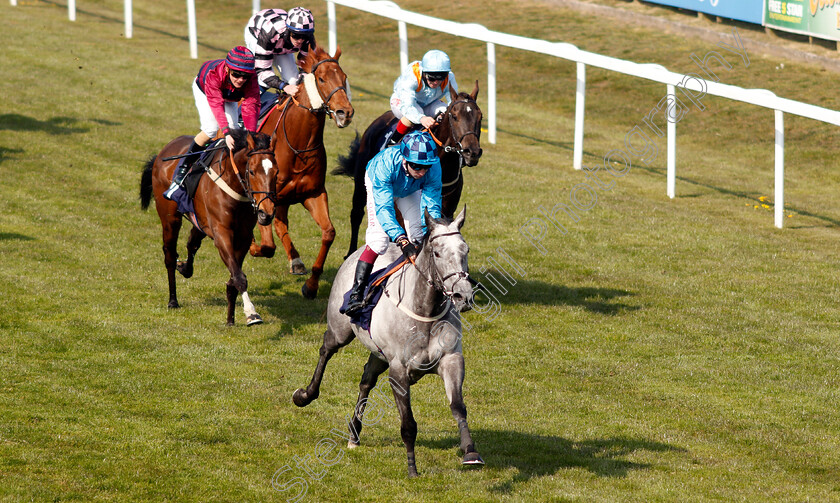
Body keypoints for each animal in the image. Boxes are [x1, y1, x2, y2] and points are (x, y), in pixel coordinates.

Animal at [140, 130, 278, 326]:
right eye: (251, 171)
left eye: (277, 172)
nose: (266, 213)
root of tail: (164, 150)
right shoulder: (222, 233)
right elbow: (239, 277)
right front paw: (251, 313)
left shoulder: (243, 236)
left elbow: (234, 276)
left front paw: (230, 319)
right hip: (170, 218)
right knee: (169, 255)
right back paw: (173, 300)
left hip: (200, 222)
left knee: (192, 244)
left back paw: (185, 268)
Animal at [249, 44, 354, 300]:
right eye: (322, 79)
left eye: (344, 77)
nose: (345, 113)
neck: (299, 144)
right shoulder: (267, 196)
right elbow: (267, 243)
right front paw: (254, 246)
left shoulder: (313, 193)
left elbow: (329, 233)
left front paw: (311, 285)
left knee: (281, 224)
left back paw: (295, 261)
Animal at [292, 207, 486, 478]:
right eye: (437, 253)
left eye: (465, 250)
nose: (463, 296)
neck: (424, 311)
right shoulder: (398, 370)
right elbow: (408, 424)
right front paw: (412, 468)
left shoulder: (451, 360)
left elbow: (458, 406)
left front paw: (470, 451)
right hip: (340, 331)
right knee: (325, 350)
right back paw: (305, 395)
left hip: (378, 353)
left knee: (366, 379)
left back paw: (354, 433)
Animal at [334, 82, 480, 260]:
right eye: (454, 116)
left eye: (480, 117)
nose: (472, 152)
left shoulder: (446, 212)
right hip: (362, 184)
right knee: (356, 214)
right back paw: (350, 253)